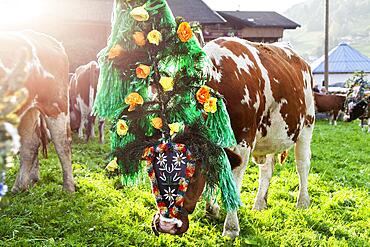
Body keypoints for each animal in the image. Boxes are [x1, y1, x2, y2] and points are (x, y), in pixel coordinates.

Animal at [0, 30, 75, 193]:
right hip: (27, 111)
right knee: (30, 144)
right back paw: (19, 187)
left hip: (55, 105)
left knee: (63, 144)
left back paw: (68, 188)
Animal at [153, 37, 316, 237]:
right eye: (155, 172)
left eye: (191, 176)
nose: (166, 225)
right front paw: (212, 209)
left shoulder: (243, 143)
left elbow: (233, 180)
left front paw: (231, 227)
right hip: (269, 136)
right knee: (267, 169)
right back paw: (260, 203)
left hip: (306, 125)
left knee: (302, 165)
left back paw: (302, 202)